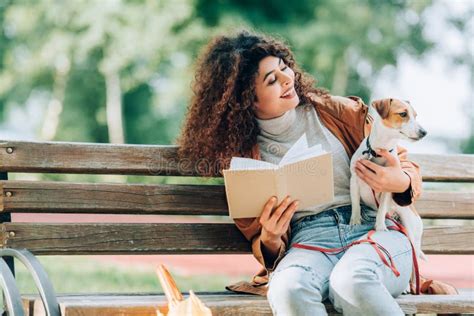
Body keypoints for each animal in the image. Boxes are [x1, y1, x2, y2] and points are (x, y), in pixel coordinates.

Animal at [350, 97, 428, 260]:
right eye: (403, 114)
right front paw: (355, 221)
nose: (424, 132)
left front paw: (380, 227)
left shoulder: (387, 185)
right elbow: (355, 205)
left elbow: (381, 210)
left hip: (412, 230)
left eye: (415, 116)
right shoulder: (354, 180)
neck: (379, 151)